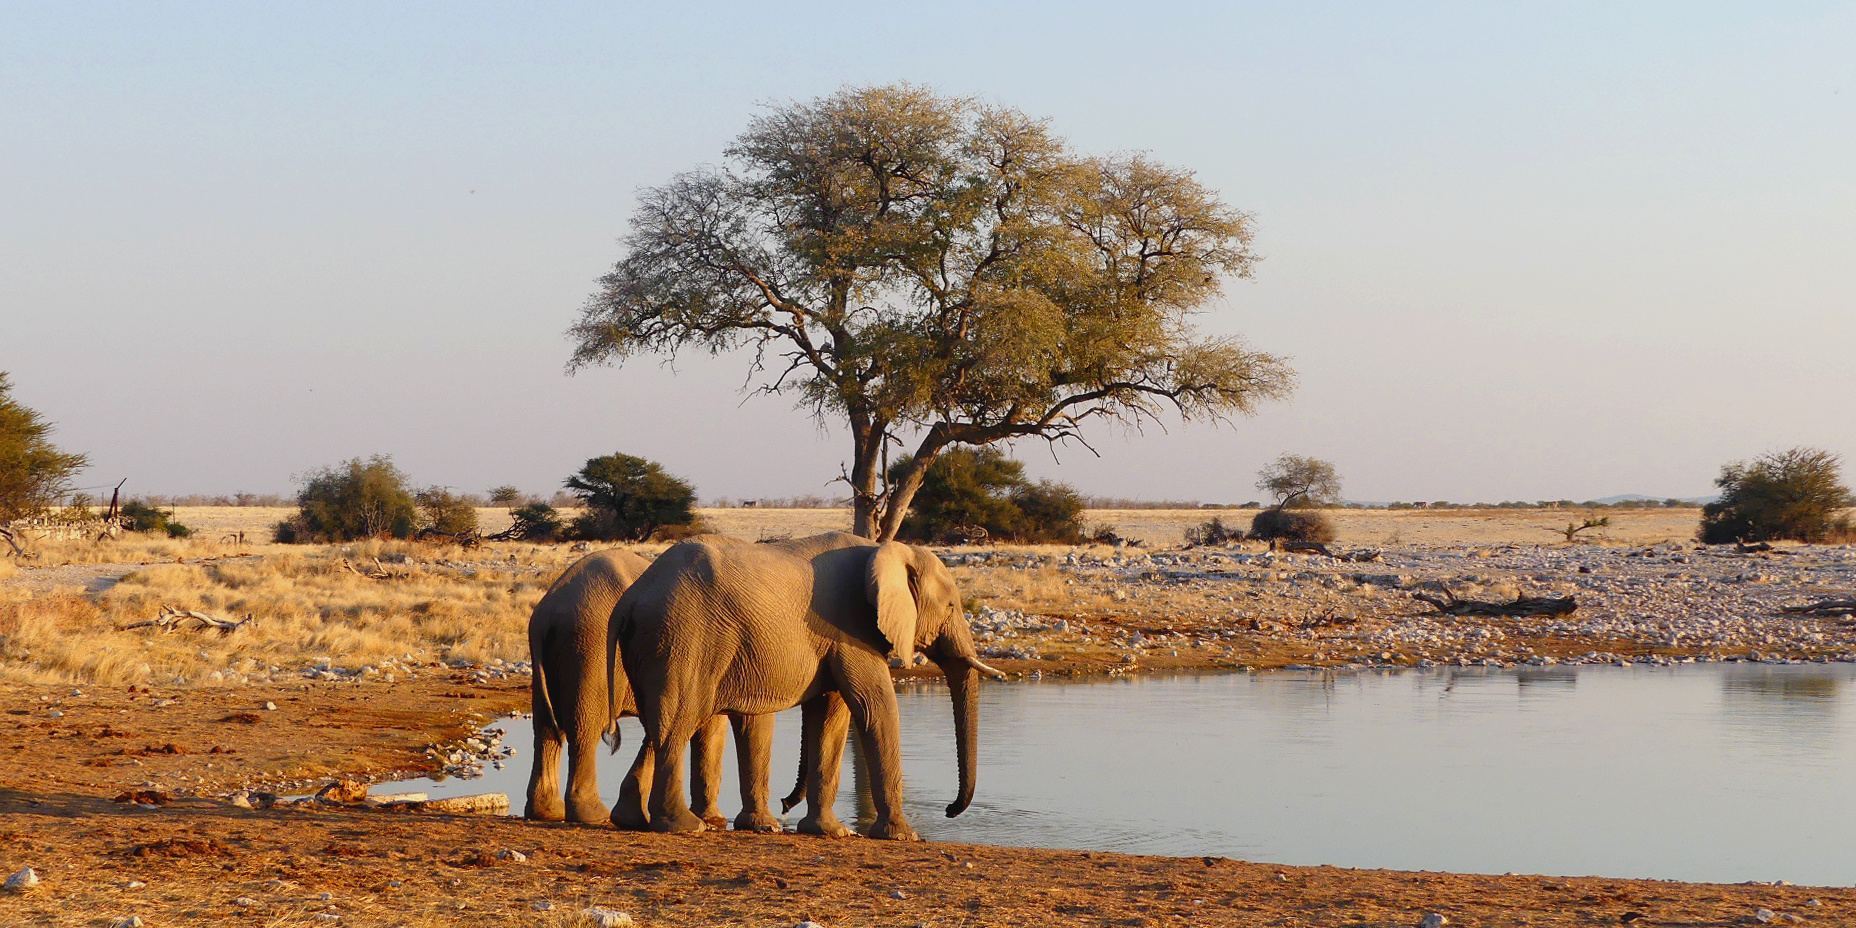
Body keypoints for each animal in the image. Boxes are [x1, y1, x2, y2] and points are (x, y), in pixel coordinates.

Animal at [608, 530, 1002, 842]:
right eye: (951, 606)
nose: (950, 810)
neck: (883, 551)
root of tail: (630, 599)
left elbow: (829, 714)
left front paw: (830, 832)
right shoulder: (850, 629)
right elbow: (873, 706)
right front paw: (904, 837)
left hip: (656, 645)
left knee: (658, 725)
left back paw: (635, 819)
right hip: (684, 637)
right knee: (677, 722)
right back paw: (685, 826)